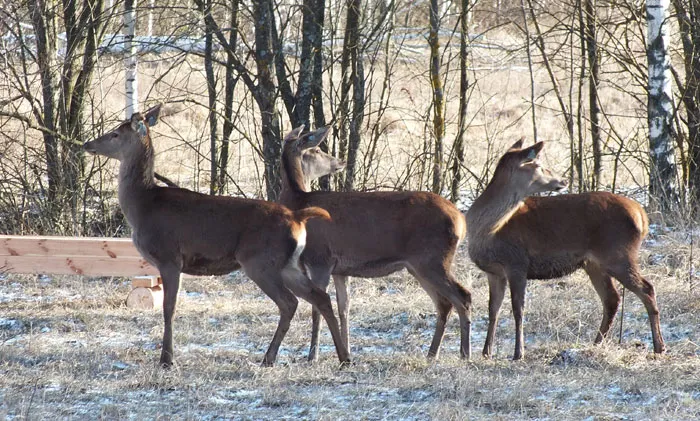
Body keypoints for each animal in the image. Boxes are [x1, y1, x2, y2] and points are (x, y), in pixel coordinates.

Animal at [82, 106, 352, 368]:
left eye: (115, 134)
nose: (87, 143)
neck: (142, 206)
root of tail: (297, 218)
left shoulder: (169, 256)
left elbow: (169, 308)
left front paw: (167, 360)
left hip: (260, 261)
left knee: (289, 302)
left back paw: (270, 357)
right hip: (288, 264)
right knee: (319, 297)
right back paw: (343, 358)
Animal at [278, 124, 470, 360]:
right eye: (315, 150)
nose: (340, 161)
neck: (297, 203)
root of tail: (461, 220)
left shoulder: (319, 259)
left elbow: (317, 307)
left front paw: (312, 356)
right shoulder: (339, 268)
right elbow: (344, 307)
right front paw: (347, 351)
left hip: (433, 259)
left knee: (463, 297)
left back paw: (465, 353)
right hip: (419, 265)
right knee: (444, 303)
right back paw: (432, 354)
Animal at [468, 139, 664, 360]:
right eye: (538, 165)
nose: (562, 180)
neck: (489, 231)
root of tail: (642, 216)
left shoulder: (517, 263)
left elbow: (518, 309)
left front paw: (518, 353)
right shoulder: (494, 271)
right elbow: (493, 309)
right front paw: (486, 352)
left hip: (619, 255)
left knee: (647, 289)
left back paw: (659, 346)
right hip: (594, 263)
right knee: (612, 298)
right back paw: (596, 344)